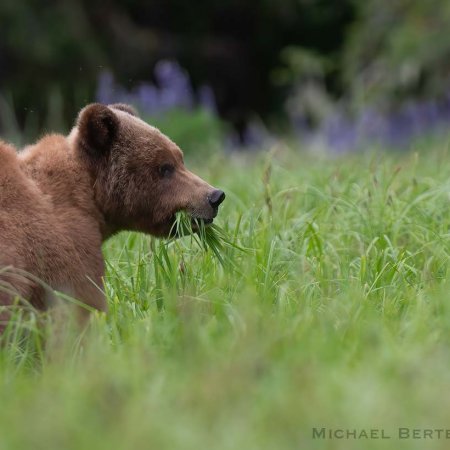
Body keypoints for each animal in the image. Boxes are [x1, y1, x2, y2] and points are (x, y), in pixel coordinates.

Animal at [0, 103, 225, 332]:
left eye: (180, 158)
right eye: (165, 167)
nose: (215, 196)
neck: (89, 198)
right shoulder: (65, 246)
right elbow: (79, 302)